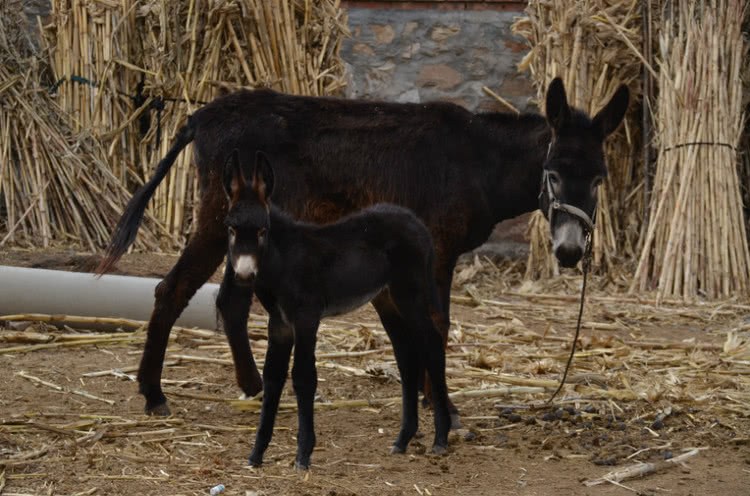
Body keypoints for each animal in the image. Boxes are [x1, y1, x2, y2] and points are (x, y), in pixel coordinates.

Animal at [219, 150, 452, 468]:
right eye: (231, 229)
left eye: (262, 231)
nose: (243, 275)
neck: (283, 260)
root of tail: (416, 222)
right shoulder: (279, 323)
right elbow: (272, 378)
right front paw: (256, 454)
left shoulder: (306, 317)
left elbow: (304, 377)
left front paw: (303, 454)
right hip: (386, 299)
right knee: (406, 355)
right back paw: (403, 439)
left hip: (409, 293)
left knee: (430, 343)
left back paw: (441, 438)